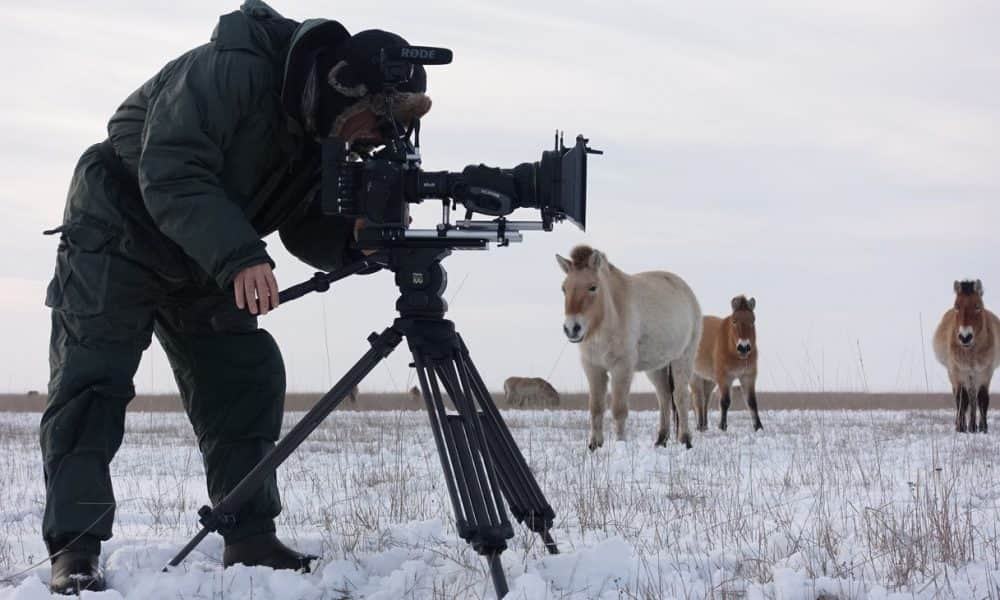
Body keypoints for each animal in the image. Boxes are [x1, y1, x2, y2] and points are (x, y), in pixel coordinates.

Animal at [692, 296, 760, 432]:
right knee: (697, 399)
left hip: (709, 381)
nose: (744, 347)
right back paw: (699, 426)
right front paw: (722, 426)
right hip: (695, 377)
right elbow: (725, 401)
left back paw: (704, 425)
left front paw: (758, 427)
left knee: (705, 399)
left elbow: (752, 402)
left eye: (752, 320)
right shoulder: (724, 378)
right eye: (734, 321)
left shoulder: (748, 376)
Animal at [932, 278, 996, 434]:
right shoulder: (958, 373)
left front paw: (983, 428)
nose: (965, 337)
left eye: (977, 306)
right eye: (957, 306)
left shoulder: (985, 373)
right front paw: (961, 427)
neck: (970, 352)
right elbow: (962, 399)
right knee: (963, 397)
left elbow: (982, 399)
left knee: (974, 398)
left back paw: (974, 426)